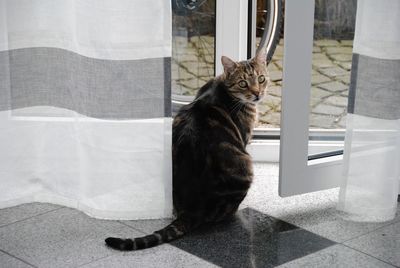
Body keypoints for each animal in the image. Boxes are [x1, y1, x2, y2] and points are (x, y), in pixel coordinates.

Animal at [104, 48, 270, 251]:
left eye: (261, 79)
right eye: (243, 83)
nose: (257, 94)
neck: (223, 88)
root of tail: (192, 209)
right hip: (245, 163)